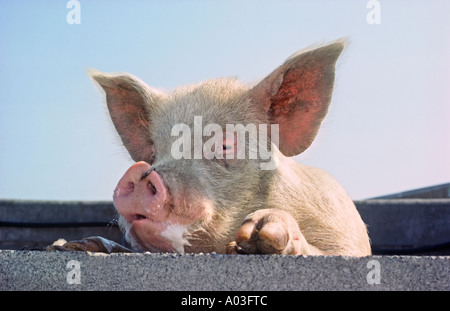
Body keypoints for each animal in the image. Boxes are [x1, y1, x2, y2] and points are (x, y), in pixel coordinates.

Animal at [50, 39, 372, 256]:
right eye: (155, 152)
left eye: (225, 145)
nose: (141, 174)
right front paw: (70, 246)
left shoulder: (344, 231)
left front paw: (260, 231)